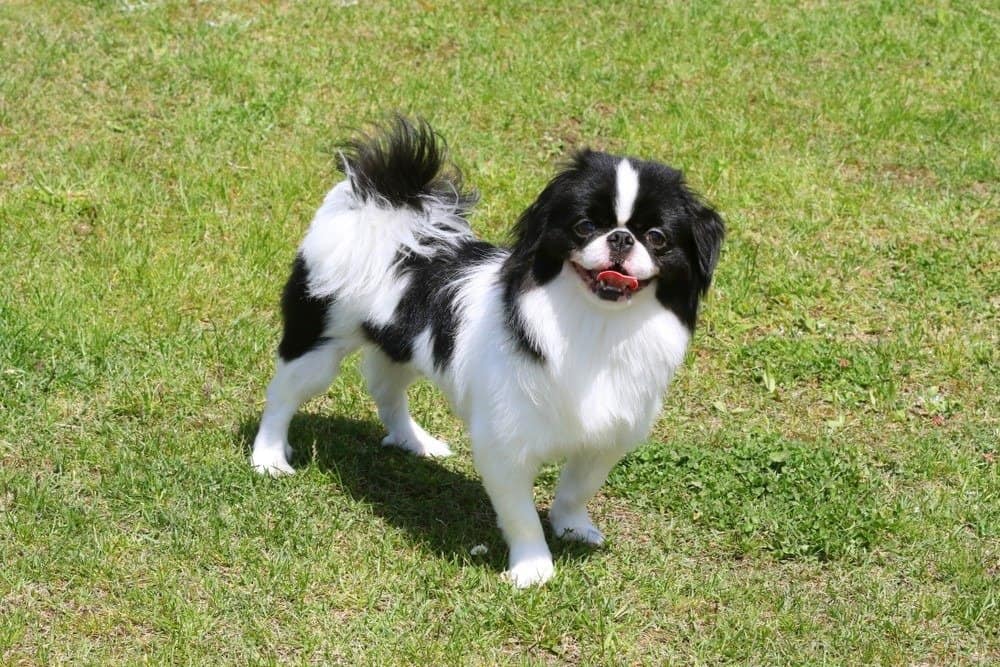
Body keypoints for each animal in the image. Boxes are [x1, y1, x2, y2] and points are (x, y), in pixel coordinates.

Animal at [248, 117, 720, 588]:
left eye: (656, 238)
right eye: (585, 226)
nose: (621, 238)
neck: (597, 325)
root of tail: (387, 212)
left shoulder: (606, 436)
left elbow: (576, 488)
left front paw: (572, 528)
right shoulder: (505, 445)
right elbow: (521, 516)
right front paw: (533, 569)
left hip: (400, 350)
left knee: (386, 391)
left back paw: (414, 441)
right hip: (318, 345)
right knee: (282, 396)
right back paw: (269, 457)